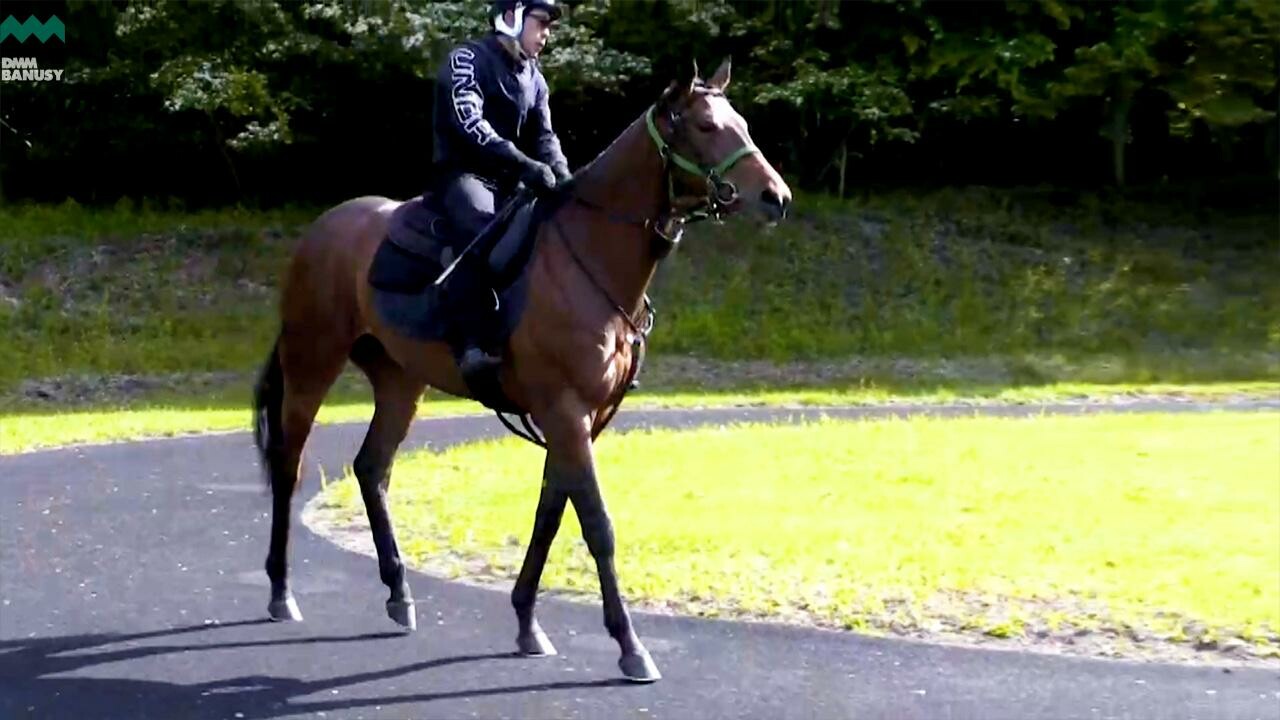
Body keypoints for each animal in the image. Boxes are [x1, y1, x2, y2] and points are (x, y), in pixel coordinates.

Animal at [249, 58, 788, 681]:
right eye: (704, 126)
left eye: (739, 122)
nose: (776, 196)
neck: (588, 254)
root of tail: (322, 231)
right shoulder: (565, 412)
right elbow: (596, 523)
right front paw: (630, 645)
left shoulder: (580, 419)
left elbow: (550, 513)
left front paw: (528, 620)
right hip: (311, 364)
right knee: (288, 466)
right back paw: (281, 591)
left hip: (400, 382)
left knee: (371, 469)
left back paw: (398, 593)